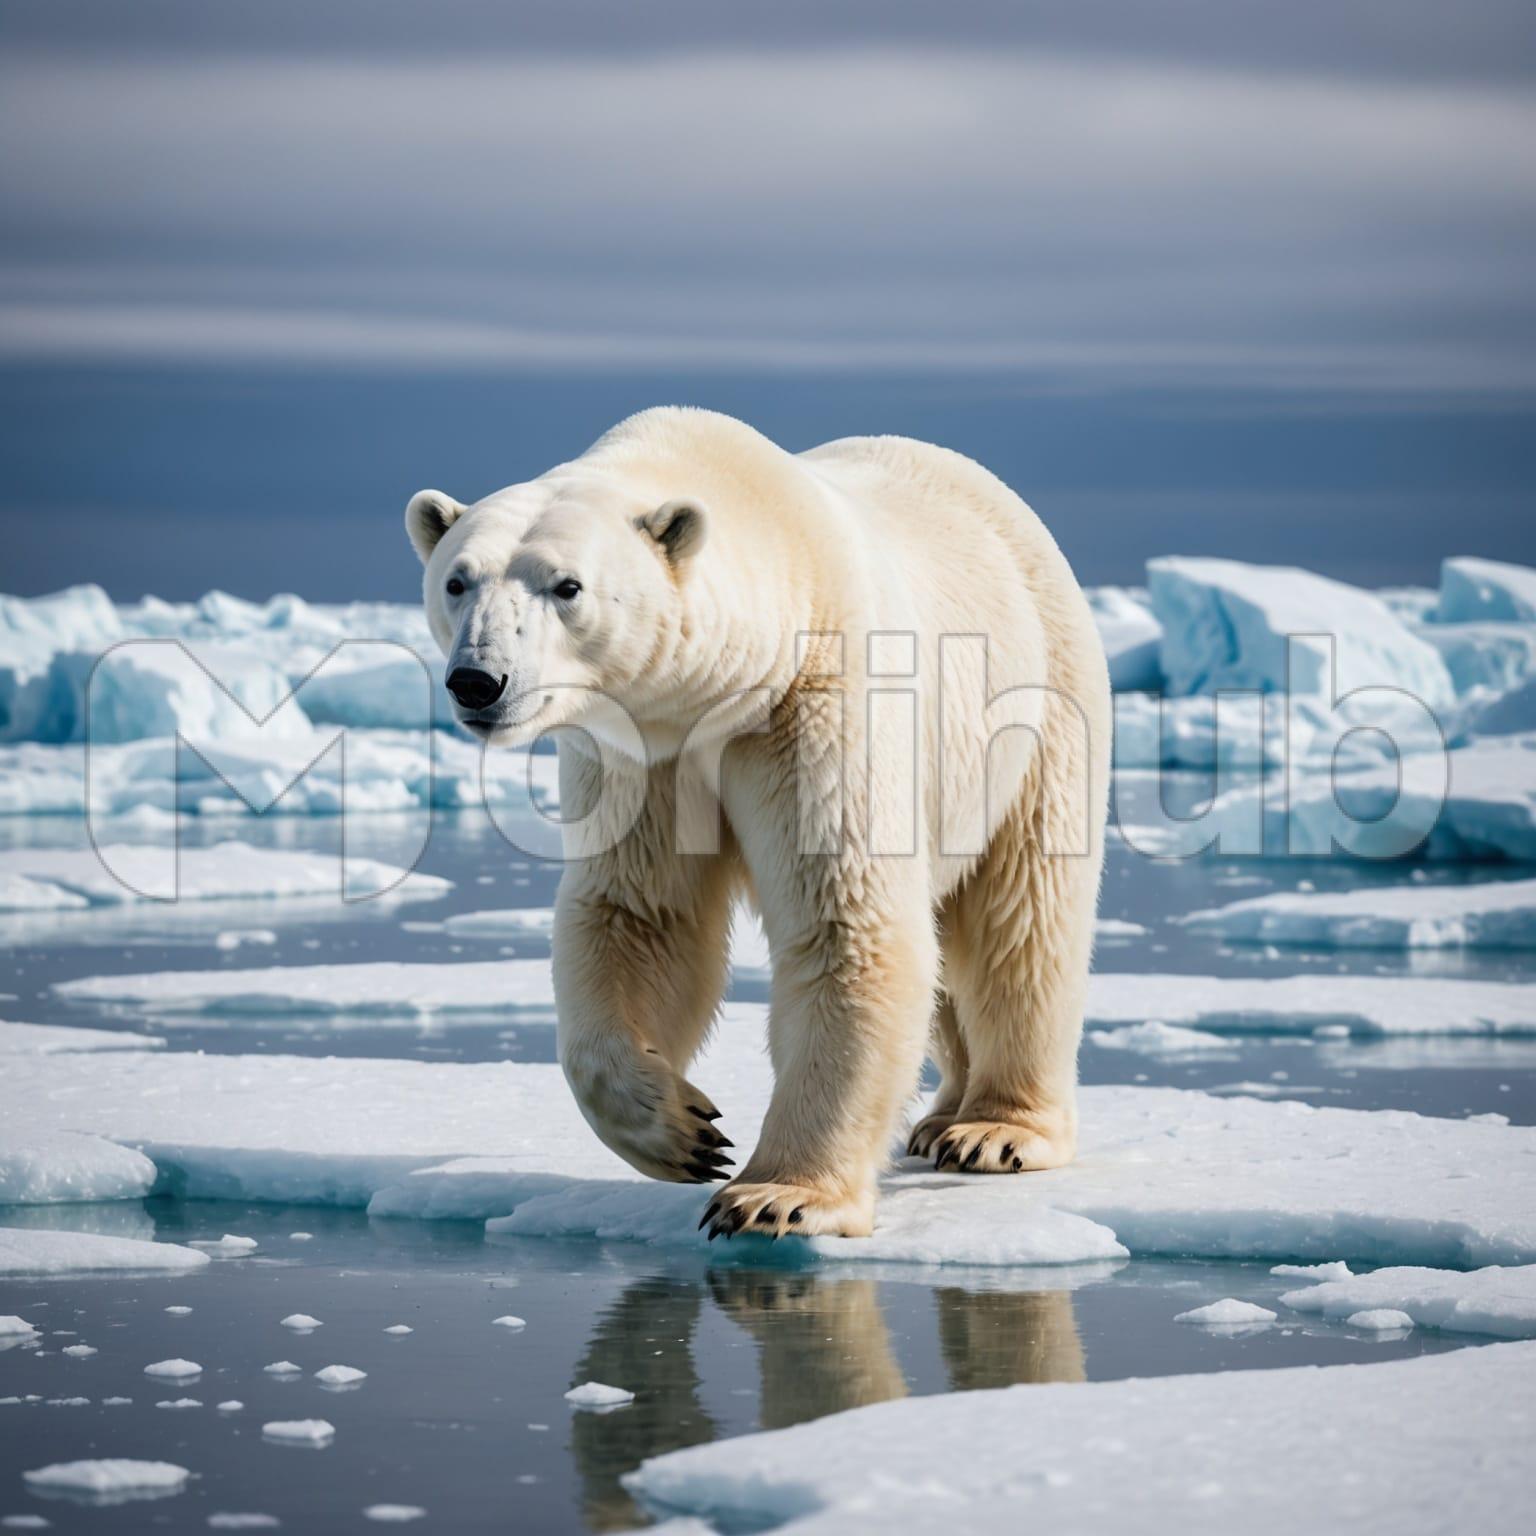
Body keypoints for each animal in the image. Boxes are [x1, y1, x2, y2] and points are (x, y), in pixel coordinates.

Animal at [406, 406, 1110, 1239]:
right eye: (456, 580)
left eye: (567, 585)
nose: (477, 680)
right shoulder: (645, 756)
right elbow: (639, 915)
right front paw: (680, 1131)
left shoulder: (812, 705)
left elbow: (846, 921)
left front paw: (776, 1196)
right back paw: (940, 1118)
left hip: (1034, 710)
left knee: (1022, 918)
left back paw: (995, 1129)